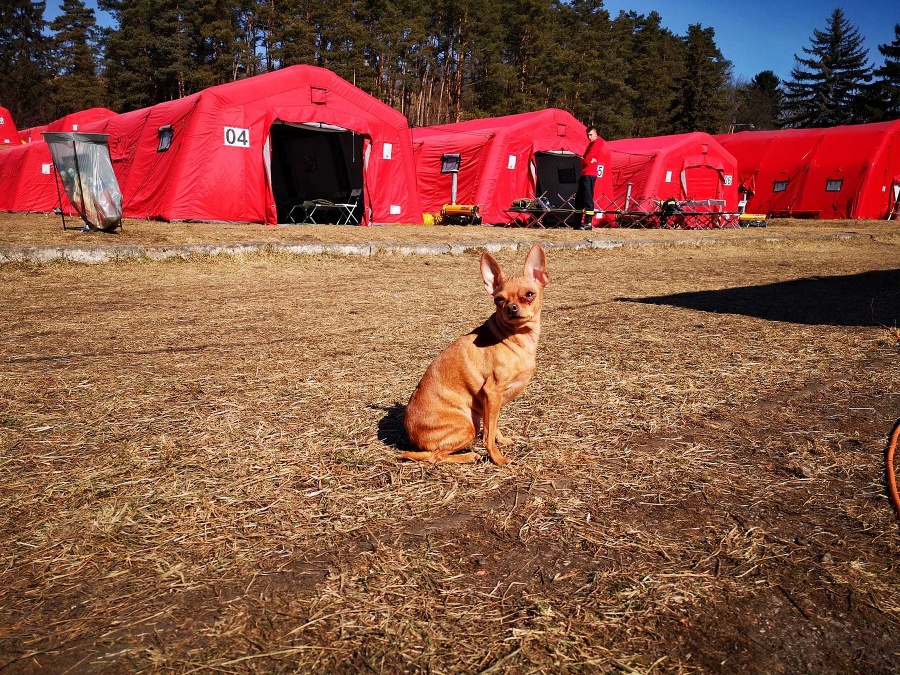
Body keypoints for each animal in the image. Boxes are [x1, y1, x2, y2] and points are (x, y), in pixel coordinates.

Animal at [402, 246, 548, 468]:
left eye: (529, 295)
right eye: (499, 299)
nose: (511, 307)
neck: (517, 337)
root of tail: (411, 435)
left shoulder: (494, 402)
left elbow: (494, 425)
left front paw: (501, 440)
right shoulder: (492, 392)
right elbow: (488, 435)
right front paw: (497, 458)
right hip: (469, 425)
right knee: (436, 456)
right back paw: (468, 456)